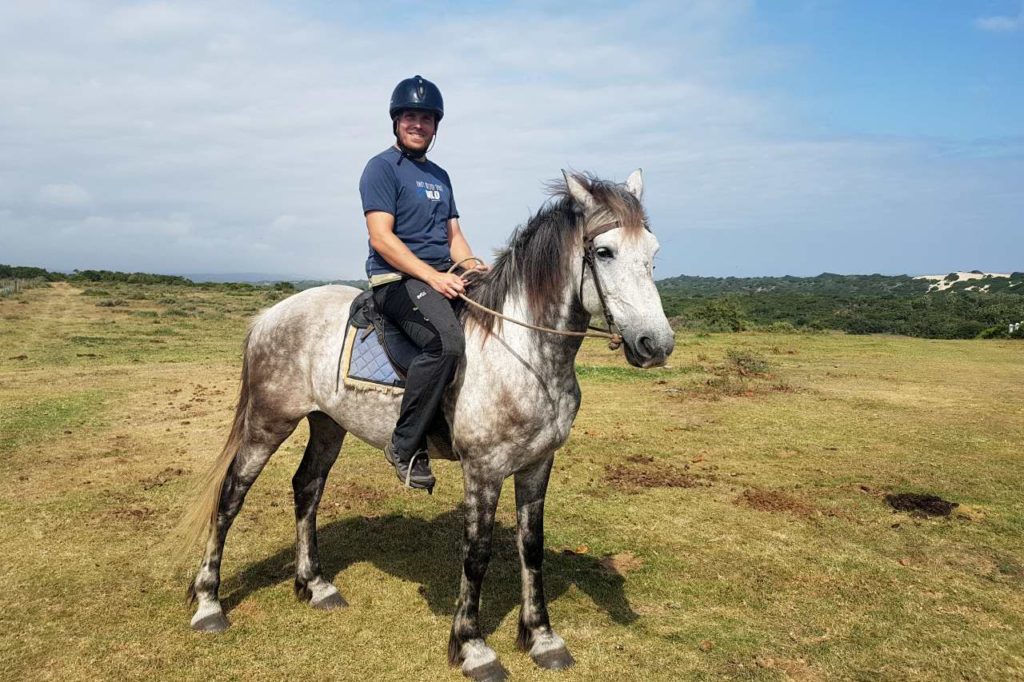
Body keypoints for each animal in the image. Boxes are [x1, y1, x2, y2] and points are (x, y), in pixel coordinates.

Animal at [179, 166, 675, 675]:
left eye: (653, 252)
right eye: (604, 252)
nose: (655, 345)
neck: (523, 353)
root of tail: (269, 315)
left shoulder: (538, 465)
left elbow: (532, 548)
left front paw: (542, 638)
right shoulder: (483, 470)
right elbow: (476, 554)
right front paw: (473, 646)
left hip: (328, 424)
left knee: (307, 487)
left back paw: (314, 585)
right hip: (269, 422)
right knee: (231, 496)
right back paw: (209, 604)